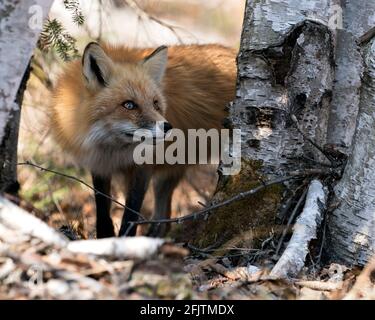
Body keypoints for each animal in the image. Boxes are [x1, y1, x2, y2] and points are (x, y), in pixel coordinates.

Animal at [51, 42, 236, 238]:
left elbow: (131, 213)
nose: (168, 127)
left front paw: (124, 241)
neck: (113, 150)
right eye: (129, 105)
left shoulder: (143, 168)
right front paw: (104, 238)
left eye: (155, 103)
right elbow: (102, 208)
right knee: (163, 221)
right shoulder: (99, 164)